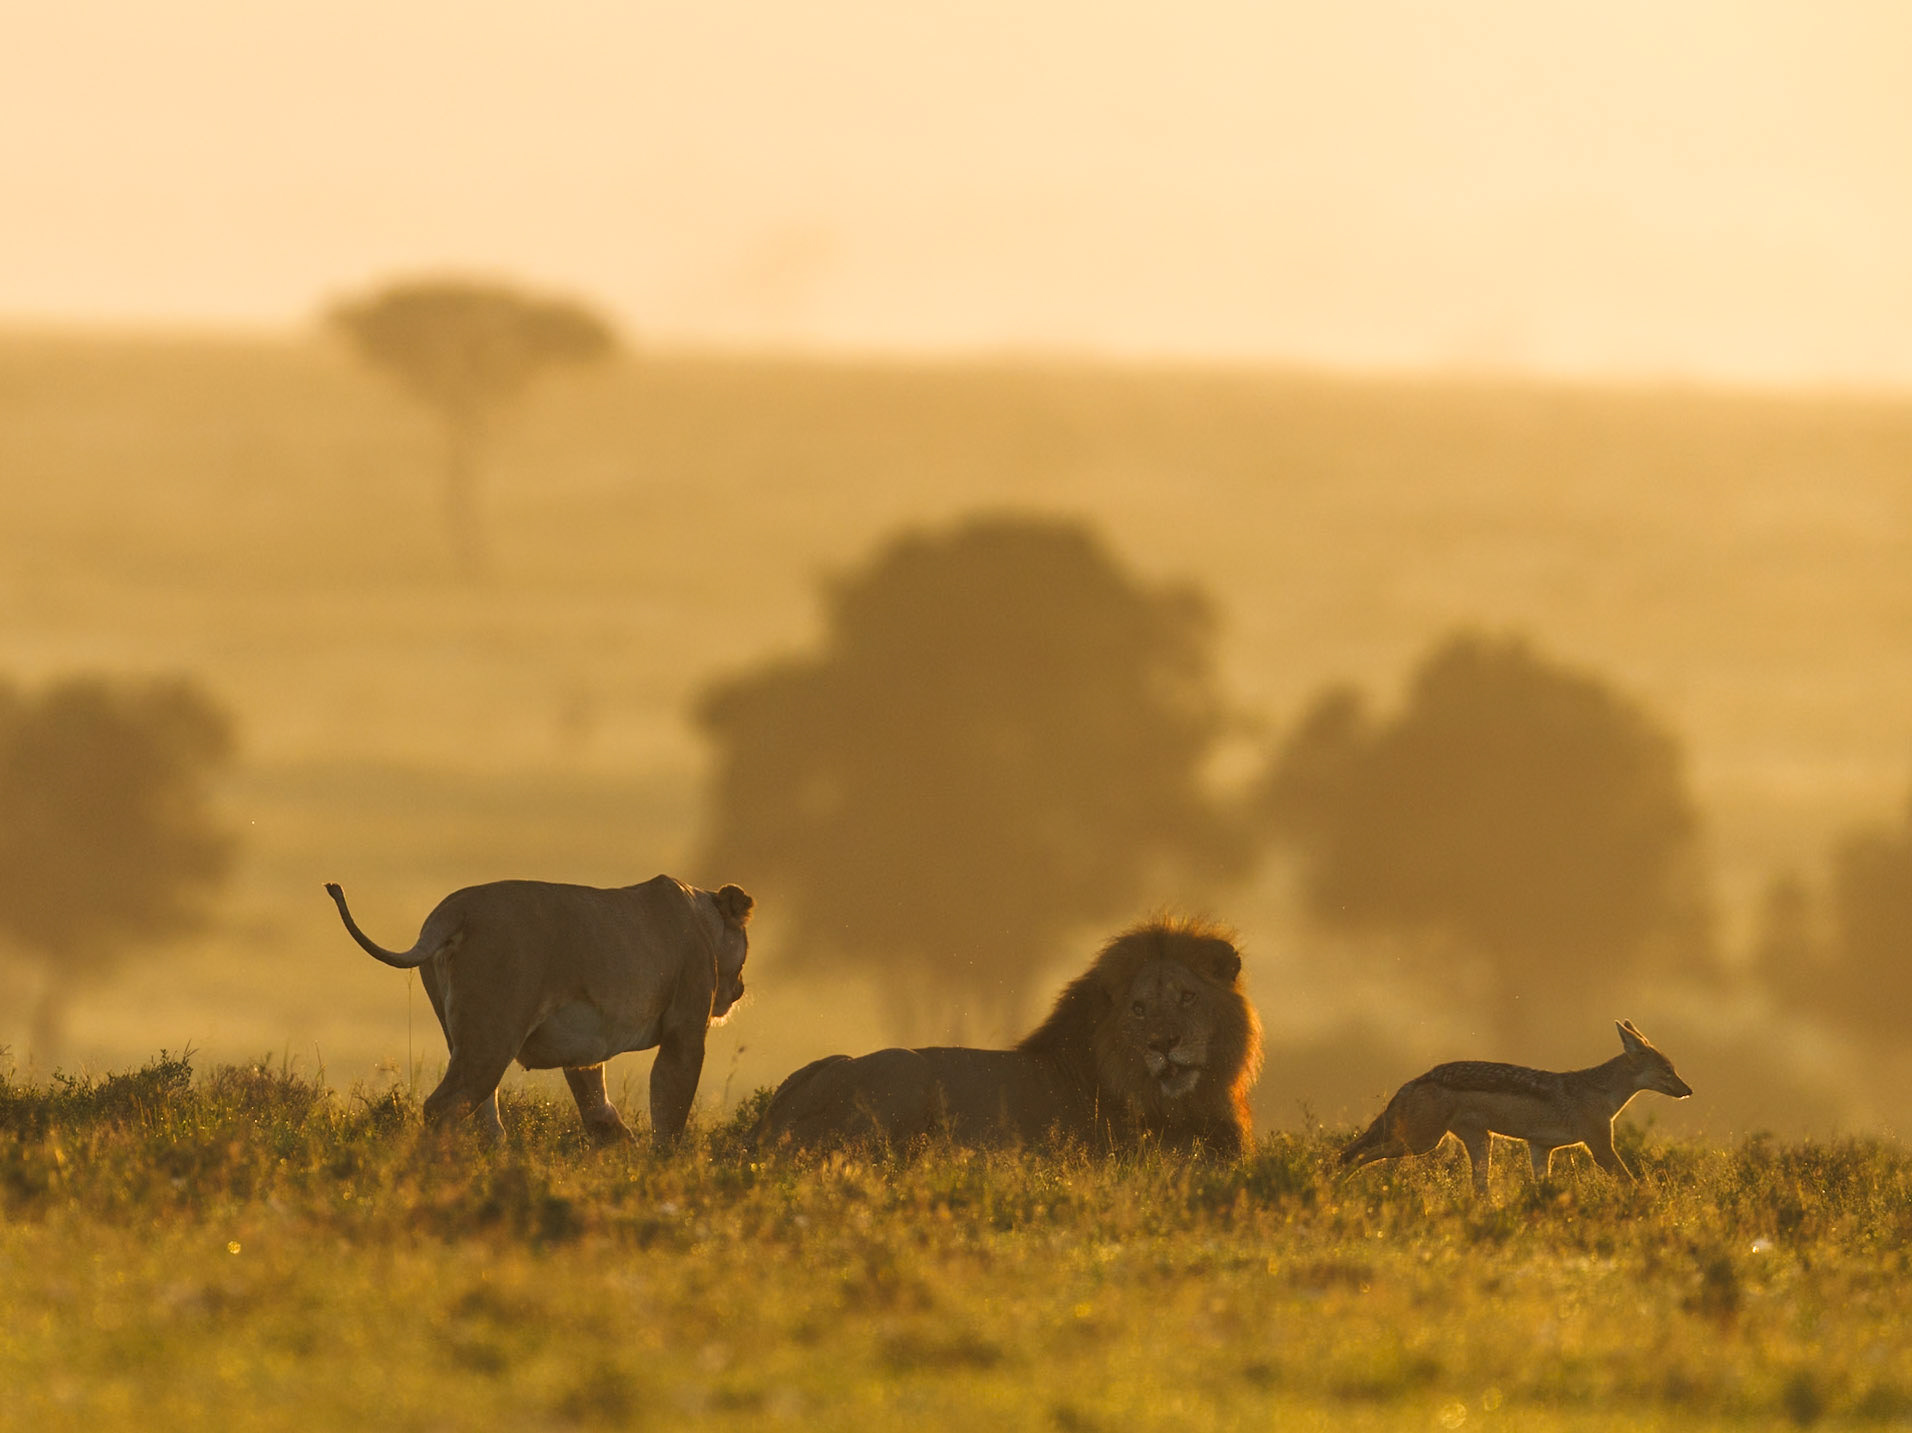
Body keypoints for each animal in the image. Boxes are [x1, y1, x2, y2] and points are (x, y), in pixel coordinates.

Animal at [324, 875, 753, 1147]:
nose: (742, 988)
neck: (704, 919)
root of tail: (454, 909)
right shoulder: (685, 1031)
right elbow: (671, 1107)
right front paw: (661, 1163)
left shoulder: (583, 1049)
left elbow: (596, 1105)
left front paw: (621, 1146)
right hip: (492, 1036)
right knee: (441, 1107)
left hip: (465, 1038)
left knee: (483, 1117)